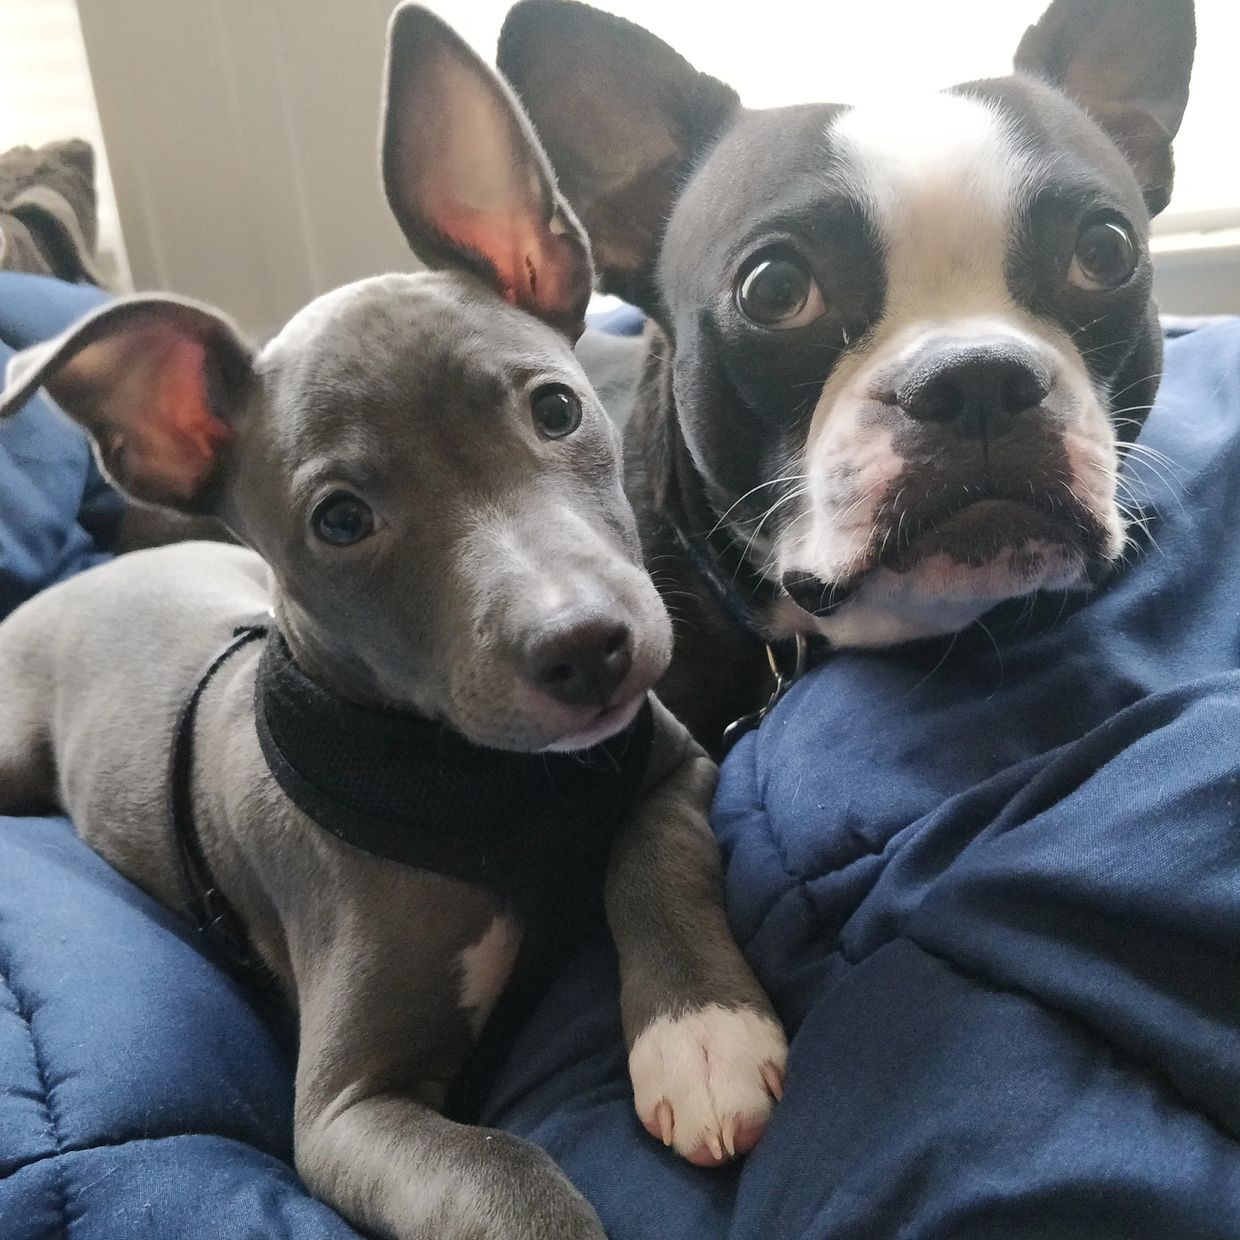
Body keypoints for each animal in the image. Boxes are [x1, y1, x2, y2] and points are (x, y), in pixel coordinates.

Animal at [0, 9, 783, 1240]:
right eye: (341, 519)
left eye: (556, 407)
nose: (588, 649)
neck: (498, 785)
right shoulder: (347, 1109)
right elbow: (507, 1176)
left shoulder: (669, 761)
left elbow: (655, 859)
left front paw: (701, 1032)